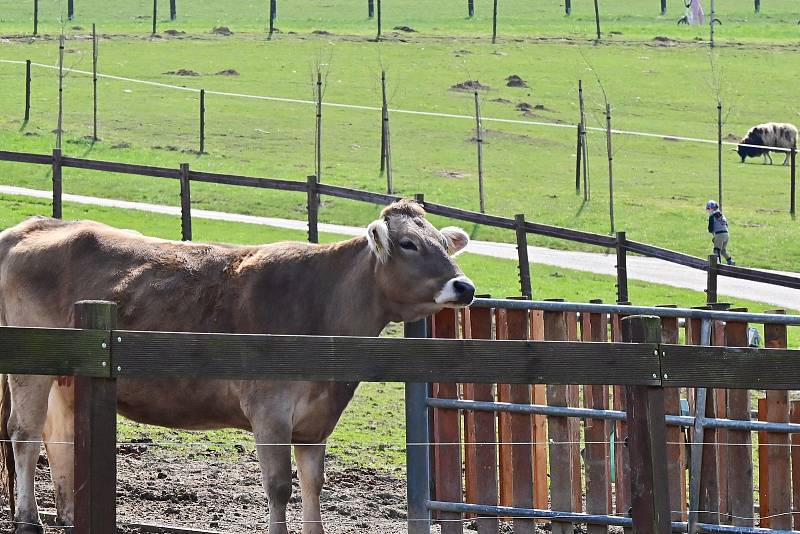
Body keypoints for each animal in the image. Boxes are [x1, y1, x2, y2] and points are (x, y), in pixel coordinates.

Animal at [0, 199, 476, 532]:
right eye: (409, 244)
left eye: (443, 243)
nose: (465, 286)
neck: (323, 303)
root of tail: (32, 227)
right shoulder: (269, 410)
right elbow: (280, 486)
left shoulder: (316, 421)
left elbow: (313, 485)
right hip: (30, 367)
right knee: (24, 436)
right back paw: (29, 519)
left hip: (66, 375)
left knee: (58, 435)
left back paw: (68, 516)